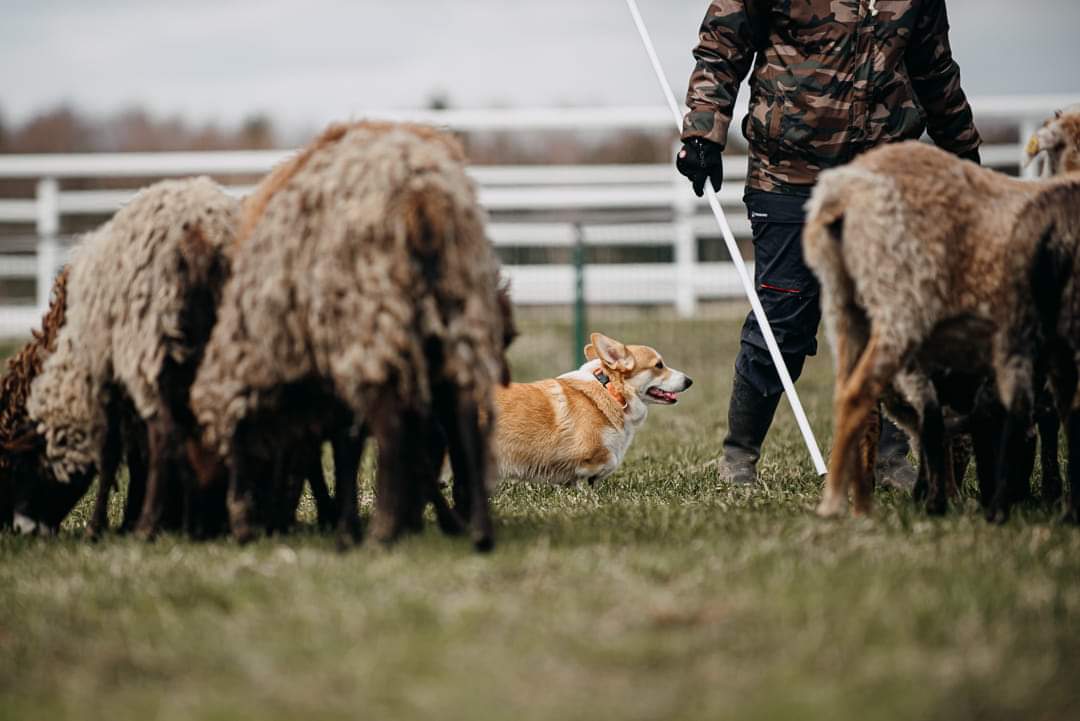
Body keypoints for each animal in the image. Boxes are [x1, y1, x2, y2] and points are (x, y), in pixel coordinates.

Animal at [27, 177, 236, 537]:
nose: (28, 528)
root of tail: (200, 236)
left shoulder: (107, 378)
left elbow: (111, 451)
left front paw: (101, 526)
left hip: (149, 350)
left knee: (165, 434)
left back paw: (151, 525)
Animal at [191, 120, 509, 548]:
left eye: (240, 451)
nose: (246, 532)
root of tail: (422, 195)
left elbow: (340, 447)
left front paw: (344, 524)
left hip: (370, 319)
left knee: (392, 423)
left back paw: (383, 532)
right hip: (453, 311)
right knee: (460, 411)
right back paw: (475, 530)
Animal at [803, 139, 1062, 518]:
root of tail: (842, 196)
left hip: (846, 311)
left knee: (854, 404)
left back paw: (861, 505)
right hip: (899, 308)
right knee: (858, 397)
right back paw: (839, 504)